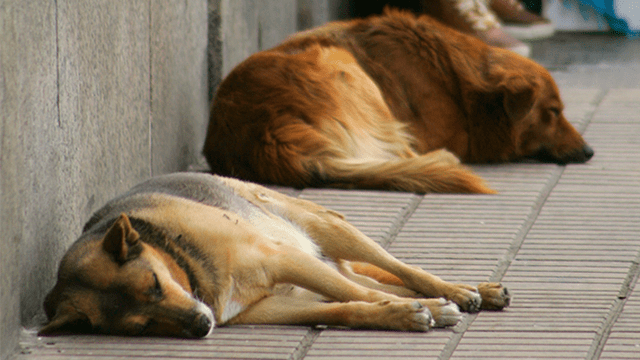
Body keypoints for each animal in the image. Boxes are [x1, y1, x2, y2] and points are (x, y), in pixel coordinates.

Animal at [40, 174, 510, 338]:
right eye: (141, 326)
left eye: (155, 284)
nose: (201, 326)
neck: (187, 266)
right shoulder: (269, 306)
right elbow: (348, 305)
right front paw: (399, 315)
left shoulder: (282, 259)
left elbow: (363, 293)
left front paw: (430, 307)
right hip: (318, 259)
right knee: (370, 280)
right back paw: (473, 290)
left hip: (325, 228)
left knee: (400, 270)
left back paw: (456, 291)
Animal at [202, 9, 592, 194]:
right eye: (553, 112)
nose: (590, 152)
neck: (455, 80)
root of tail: (268, 128)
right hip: (341, 62)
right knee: (405, 156)